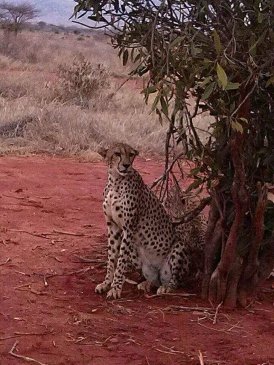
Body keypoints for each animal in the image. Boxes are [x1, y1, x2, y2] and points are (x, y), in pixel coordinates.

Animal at [95, 142, 204, 298]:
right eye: (117, 153)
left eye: (131, 154)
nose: (126, 165)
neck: (115, 181)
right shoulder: (113, 226)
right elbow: (111, 257)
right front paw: (106, 284)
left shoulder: (128, 228)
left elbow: (121, 261)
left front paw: (115, 288)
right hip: (137, 251)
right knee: (155, 279)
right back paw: (147, 283)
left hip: (179, 247)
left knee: (176, 281)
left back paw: (167, 287)